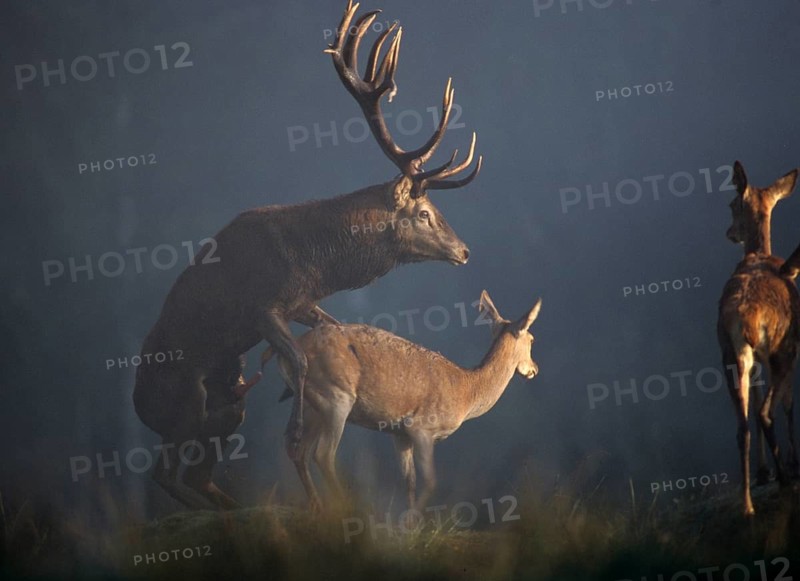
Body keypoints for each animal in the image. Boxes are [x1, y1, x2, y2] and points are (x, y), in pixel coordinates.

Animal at [132, 0, 483, 511]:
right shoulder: (262, 305)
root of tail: (137, 404)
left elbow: (329, 333)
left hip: (227, 407)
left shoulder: (304, 303)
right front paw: (298, 432)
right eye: (423, 213)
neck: (314, 259)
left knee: (195, 473)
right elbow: (298, 360)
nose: (464, 250)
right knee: (163, 472)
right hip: (182, 403)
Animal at [244, 291, 542, 515]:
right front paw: (415, 523)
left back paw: (318, 506)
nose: (534, 369)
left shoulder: (400, 433)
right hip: (336, 396)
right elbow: (430, 481)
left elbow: (408, 482)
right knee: (323, 454)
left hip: (312, 404)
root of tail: (279, 352)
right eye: (532, 338)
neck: (466, 392)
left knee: (297, 448)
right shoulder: (422, 427)